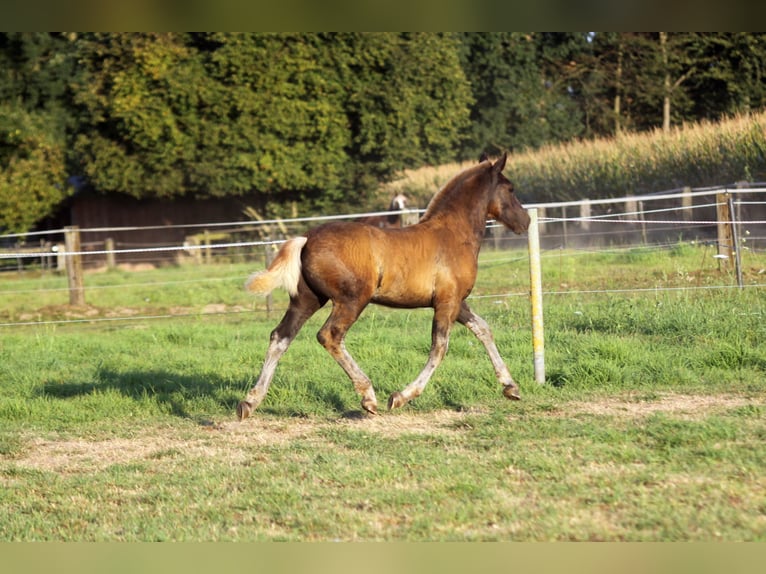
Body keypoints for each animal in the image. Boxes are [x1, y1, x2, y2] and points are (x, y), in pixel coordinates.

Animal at [237, 153, 530, 420]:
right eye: (511, 188)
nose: (525, 221)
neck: (452, 235)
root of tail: (307, 238)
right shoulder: (447, 302)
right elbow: (439, 347)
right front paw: (401, 397)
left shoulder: (457, 302)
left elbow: (483, 329)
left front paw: (510, 387)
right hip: (352, 300)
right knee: (329, 335)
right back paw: (368, 397)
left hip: (307, 299)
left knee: (280, 336)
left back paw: (250, 402)